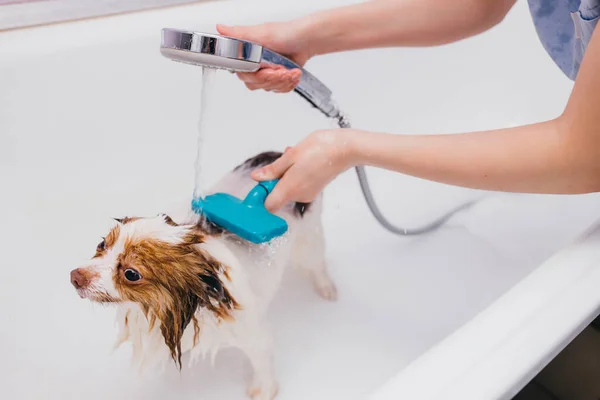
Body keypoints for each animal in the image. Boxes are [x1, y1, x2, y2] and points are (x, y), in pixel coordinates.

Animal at [69, 152, 338, 400]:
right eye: (102, 244)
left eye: (131, 274)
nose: (75, 277)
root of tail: (277, 155)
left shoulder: (252, 332)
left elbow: (262, 361)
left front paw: (264, 390)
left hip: (307, 244)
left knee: (317, 264)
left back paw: (327, 290)